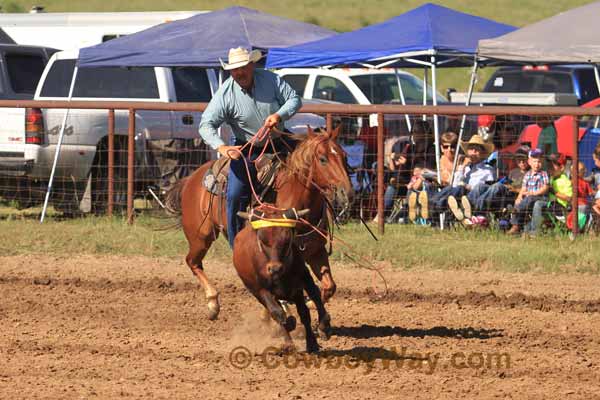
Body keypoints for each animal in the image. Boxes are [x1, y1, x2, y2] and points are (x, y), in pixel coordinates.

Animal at [165, 126, 352, 320]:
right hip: (200, 237)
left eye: (344, 156)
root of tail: (191, 178)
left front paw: (308, 303)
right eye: (323, 159)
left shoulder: (315, 250)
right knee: (192, 262)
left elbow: (329, 287)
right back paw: (212, 303)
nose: (346, 193)